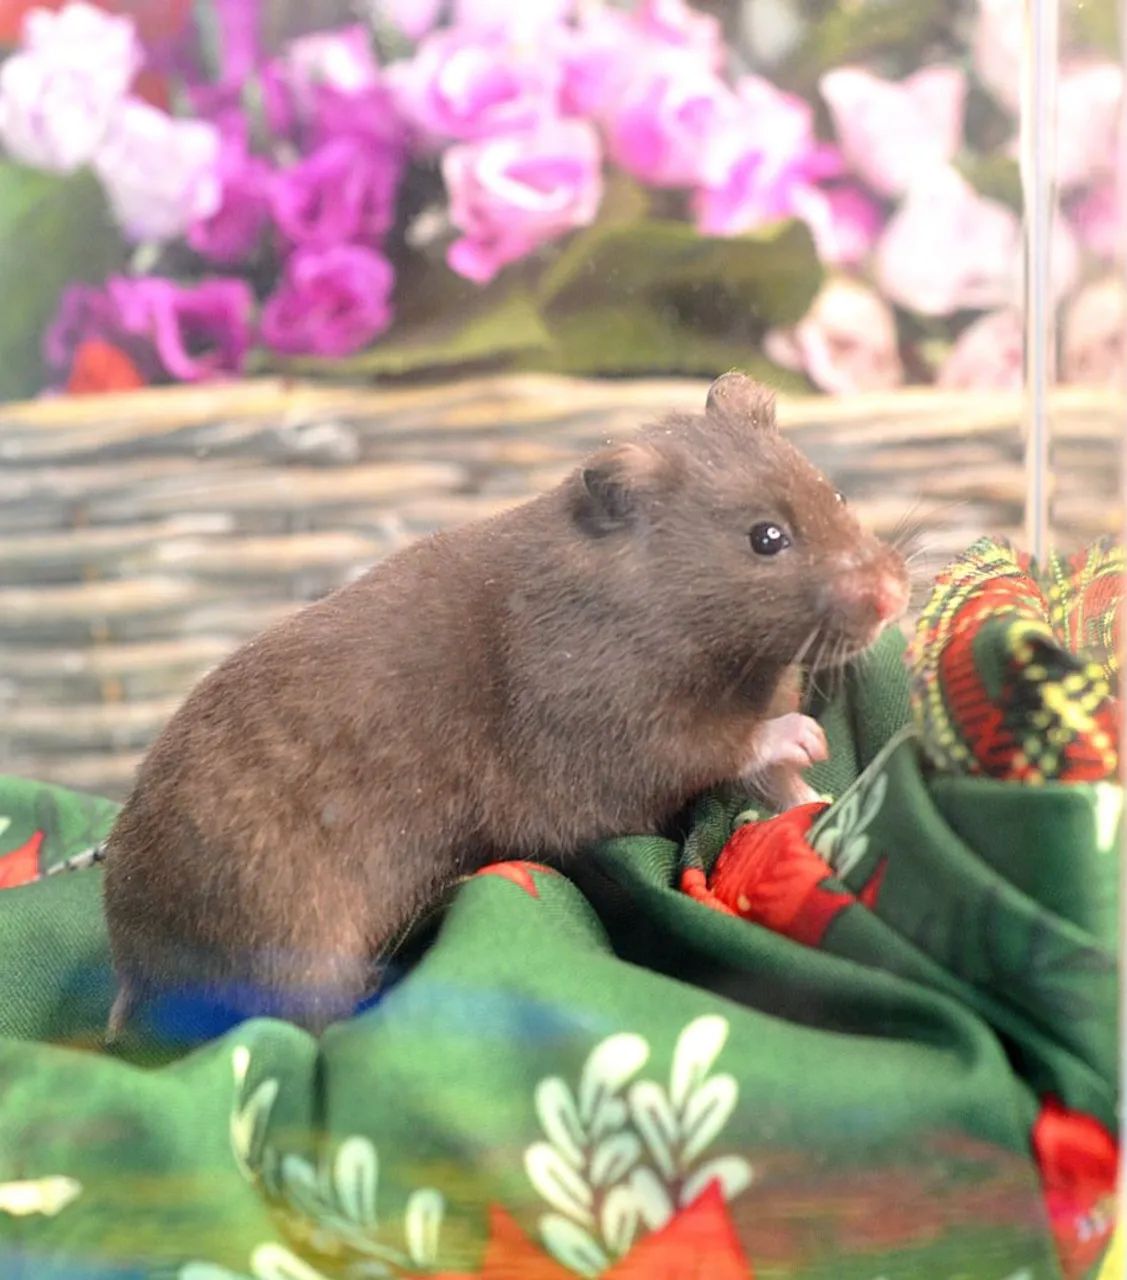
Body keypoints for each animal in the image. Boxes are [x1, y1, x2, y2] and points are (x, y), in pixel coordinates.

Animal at [102, 374, 909, 1037]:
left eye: (835, 494)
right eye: (765, 538)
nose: (895, 596)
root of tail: (133, 968)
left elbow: (769, 781)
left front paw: (814, 797)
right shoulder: (614, 732)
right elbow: (723, 744)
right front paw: (805, 739)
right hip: (292, 933)